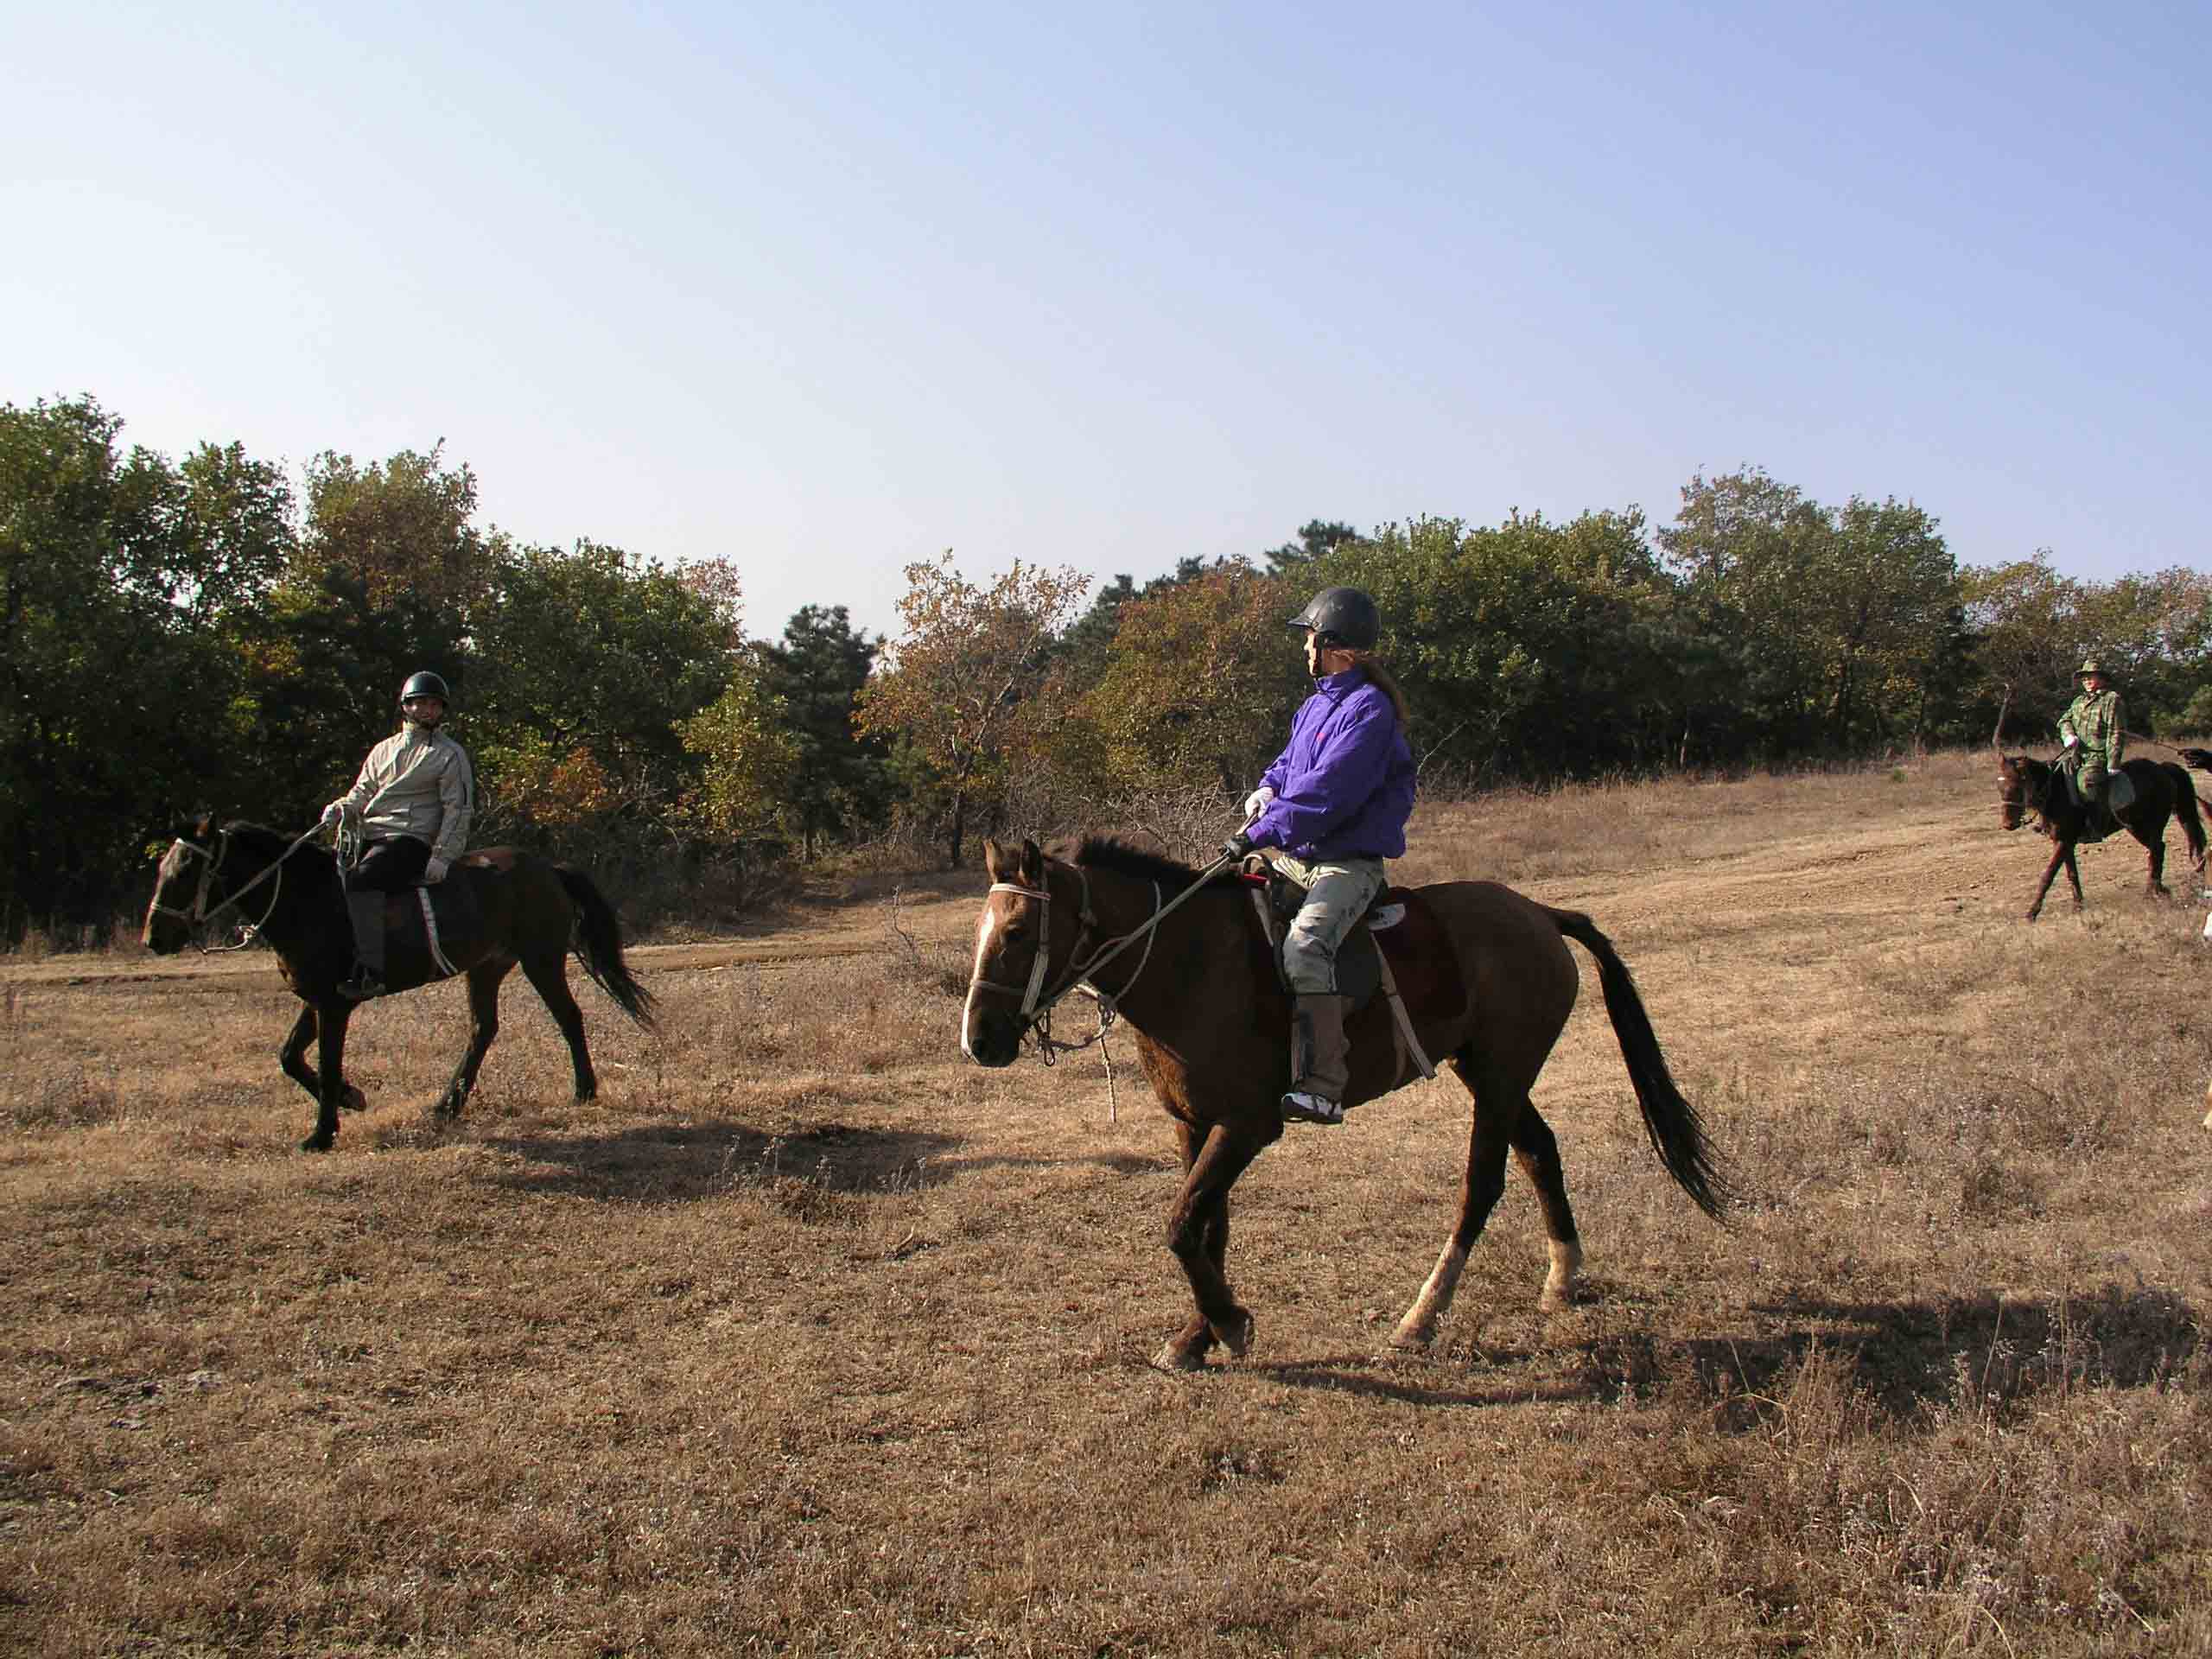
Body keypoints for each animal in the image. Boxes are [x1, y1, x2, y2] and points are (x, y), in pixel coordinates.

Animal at [141, 823, 645, 1159]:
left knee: (568, 1017)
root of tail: (547, 867)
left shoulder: (335, 1004)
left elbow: (326, 1064)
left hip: (540, 960)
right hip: (486, 967)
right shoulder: (317, 998)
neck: (306, 901)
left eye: (185, 871)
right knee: (483, 1029)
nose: (154, 938)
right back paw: (447, 1105)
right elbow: (290, 1056)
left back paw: (583, 1090)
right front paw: (351, 1098)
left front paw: (322, 1133)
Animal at [960, 836, 1734, 1371]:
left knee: (1482, 1184)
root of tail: (1538, 914)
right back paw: (1563, 1278)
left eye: (1019, 934)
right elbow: (1207, 1228)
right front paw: (1199, 1333)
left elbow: (1181, 1226)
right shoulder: (1194, 1126)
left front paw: (1227, 1324)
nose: (979, 1040)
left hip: (1502, 1074)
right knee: (1540, 1151)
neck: (1191, 964)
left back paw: (1421, 1318)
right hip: (1491, 1071)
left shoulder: (1248, 1126)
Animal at [1999, 752, 2202, 925]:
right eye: (2000, 787)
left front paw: (2032, 913)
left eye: (2018, 785)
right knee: (2158, 850)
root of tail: (2162, 769)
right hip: (2137, 828)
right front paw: (2078, 906)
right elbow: (2072, 874)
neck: (2056, 793)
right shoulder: (2065, 842)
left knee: (2156, 851)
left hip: (2150, 825)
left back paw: (2151, 892)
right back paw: (2159, 890)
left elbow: (2047, 876)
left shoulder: (2064, 842)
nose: (2008, 824)